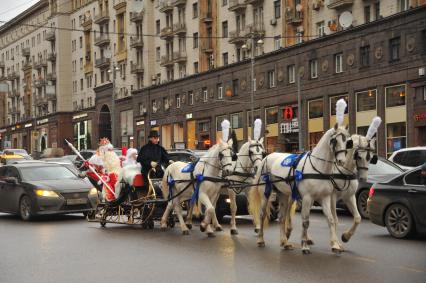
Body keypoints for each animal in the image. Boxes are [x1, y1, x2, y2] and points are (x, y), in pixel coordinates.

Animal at [248, 123, 352, 253]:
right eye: (334, 140)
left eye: (347, 141)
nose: (341, 161)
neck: (317, 167)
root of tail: (266, 158)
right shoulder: (307, 198)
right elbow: (305, 221)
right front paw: (304, 244)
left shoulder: (325, 198)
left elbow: (330, 220)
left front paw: (334, 244)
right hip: (265, 193)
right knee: (262, 215)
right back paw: (261, 239)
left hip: (283, 194)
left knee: (282, 218)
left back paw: (285, 242)